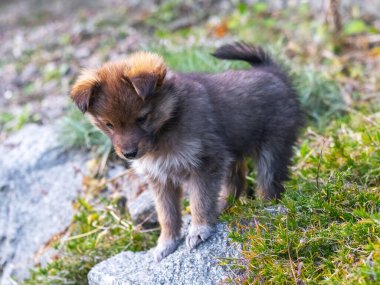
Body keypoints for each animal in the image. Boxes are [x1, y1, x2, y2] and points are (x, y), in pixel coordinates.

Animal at [70, 42, 302, 260]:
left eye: (142, 118)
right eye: (108, 125)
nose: (129, 153)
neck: (166, 127)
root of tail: (272, 71)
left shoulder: (205, 162)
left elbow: (199, 200)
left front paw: (199, 229)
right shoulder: (160, 177)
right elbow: (167, 214)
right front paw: (166, 243)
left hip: (272, 147)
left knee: (269, 182)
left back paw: (264, 207)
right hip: (232, 154)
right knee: (236, 184)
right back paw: (222, 206)